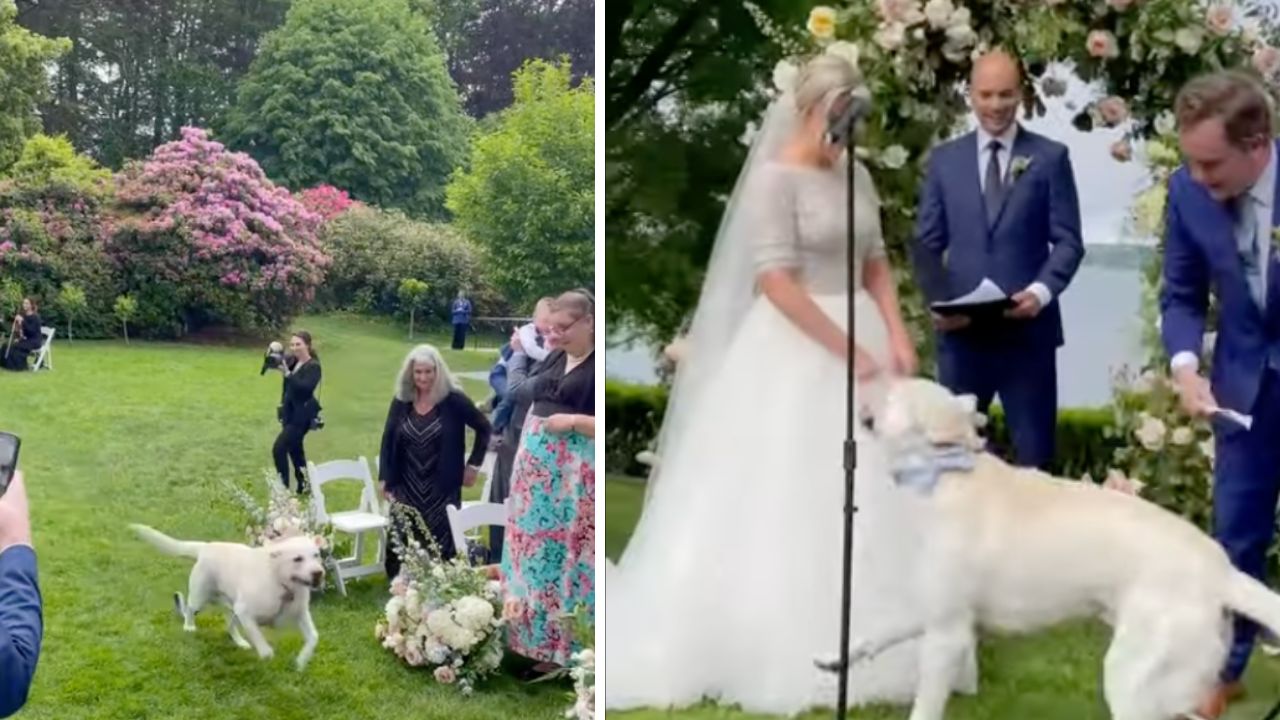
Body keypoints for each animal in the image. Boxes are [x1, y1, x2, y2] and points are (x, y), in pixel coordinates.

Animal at [129, 520, 325, 666]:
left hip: (232, 607)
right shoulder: (246, 613)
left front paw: (301, 661)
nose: (318, 573)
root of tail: (206, 547)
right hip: (201, 597)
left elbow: (314, 637)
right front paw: (267, 654)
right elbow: (261, 641)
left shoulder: (301, 614)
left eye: (316, 555)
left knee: (229, 626)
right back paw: (189, 626)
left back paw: (240, 642)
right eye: (297, 559)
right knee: (189, 610)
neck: (281, 584)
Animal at [849, 376, 1280, 717]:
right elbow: (881, 632)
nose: (864, 399)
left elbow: (924, 707)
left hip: (1131, 677)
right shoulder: (934, 608)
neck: (946, 474)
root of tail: (1222, 570)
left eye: (894, 394)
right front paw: (842, 658)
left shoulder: (948, 634)